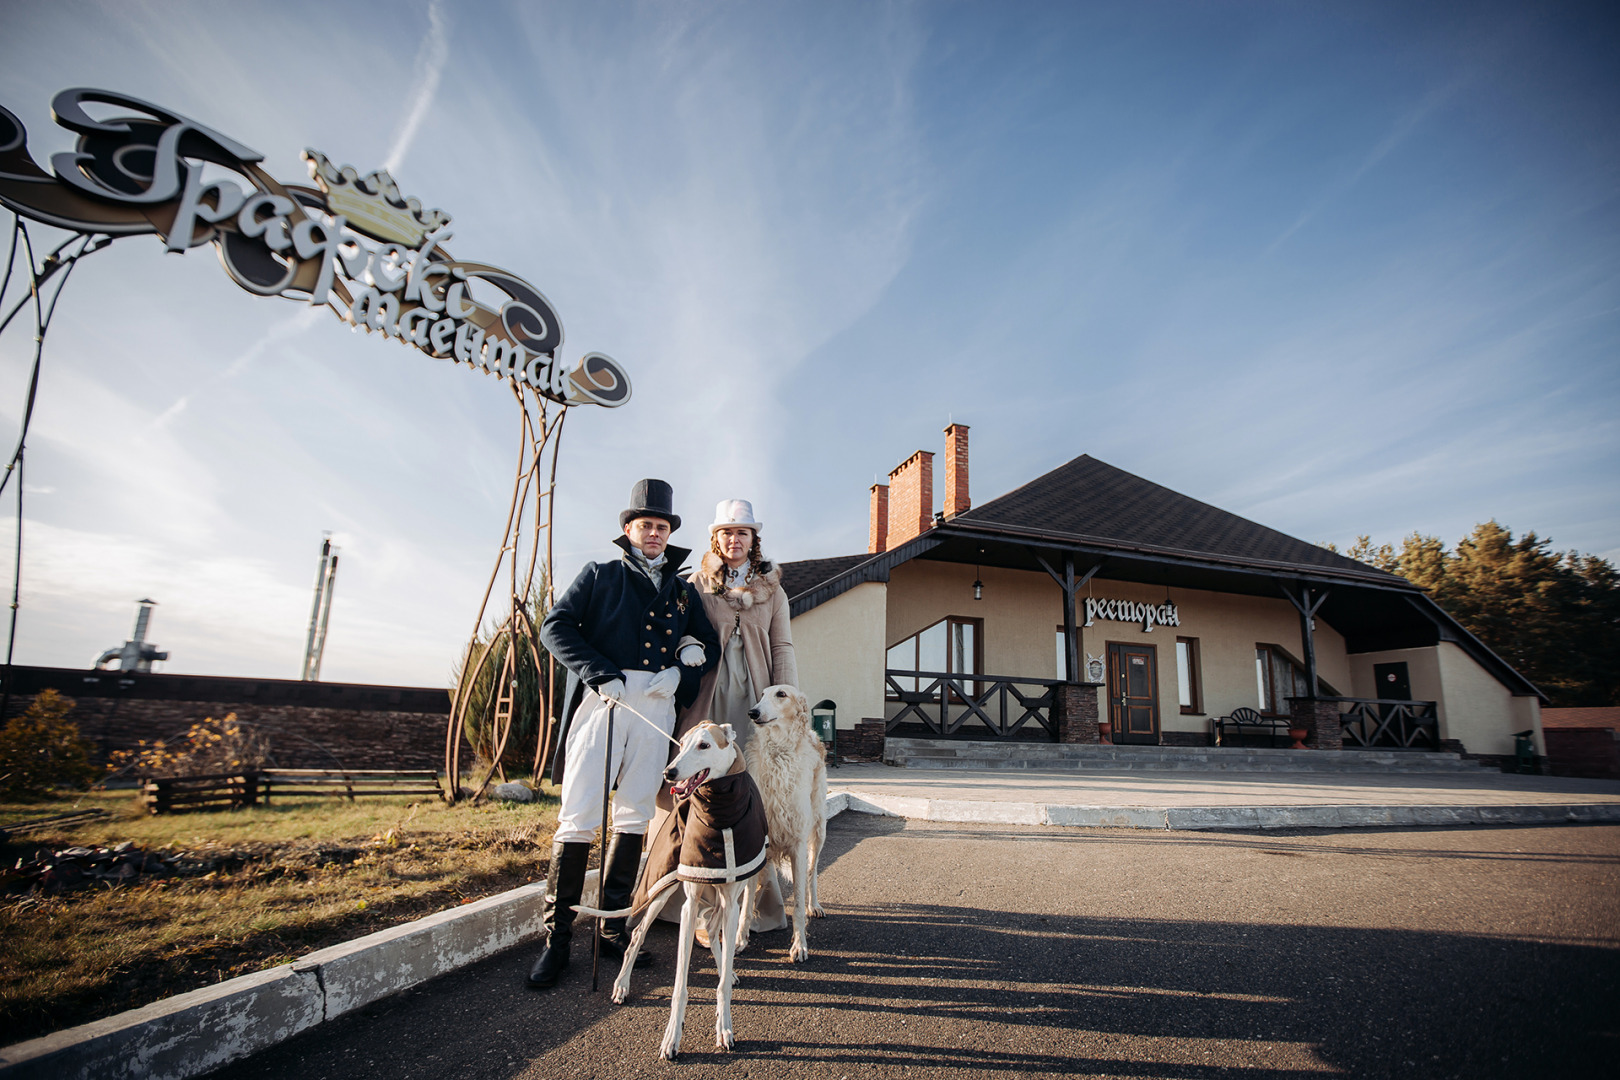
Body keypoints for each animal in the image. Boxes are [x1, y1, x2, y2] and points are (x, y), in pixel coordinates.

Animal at [576, 722, 764, 1062]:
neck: (719, 811)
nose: (669, 772)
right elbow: (679, 986)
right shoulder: (689, 905)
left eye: (704, 745)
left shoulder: (731, 900)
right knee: (638, 935)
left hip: (722, 898)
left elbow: (722, 979)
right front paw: (672, 1037)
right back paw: (622, 984)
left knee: (713, 930)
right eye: (681, 745)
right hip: (663, 887)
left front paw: (725, 1027)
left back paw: (726, 972)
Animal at [741, 683, 829, 965]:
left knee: (812, 873)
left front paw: (799, 946)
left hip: (818, 831)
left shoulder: (798, 843)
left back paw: (815, 905)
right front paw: (739, 939)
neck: (778, 754)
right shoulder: (756, 841)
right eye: (761, 695)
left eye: (781, 694)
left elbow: (798, 903)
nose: (753, 712)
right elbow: (746, 902)